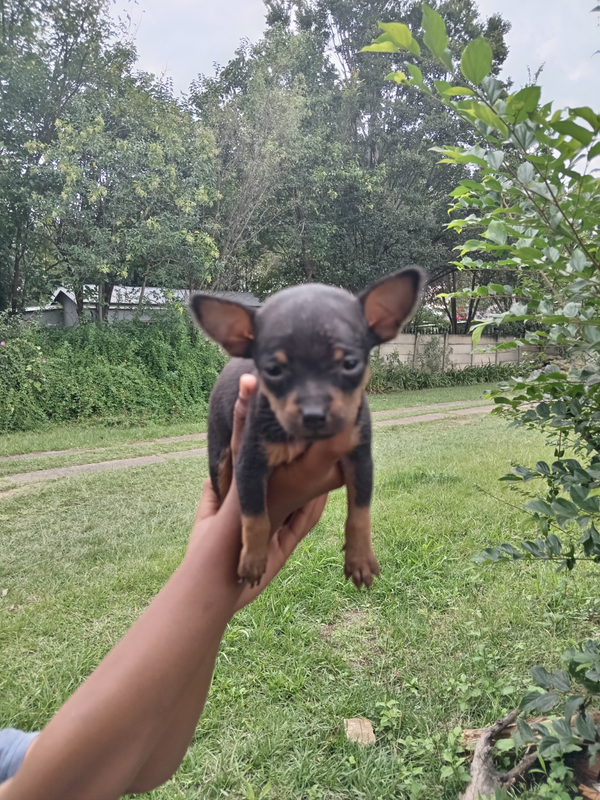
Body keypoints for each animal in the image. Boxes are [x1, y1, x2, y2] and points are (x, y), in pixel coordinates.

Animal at [190, 268, 424, 588]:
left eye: (350, 364)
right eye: (273, 371)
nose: (314, 415)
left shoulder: (361, 460)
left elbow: (360, 512)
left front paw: (360, 557)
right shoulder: (250, 464)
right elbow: (254, 516)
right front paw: (252, 560)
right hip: (221, 458)